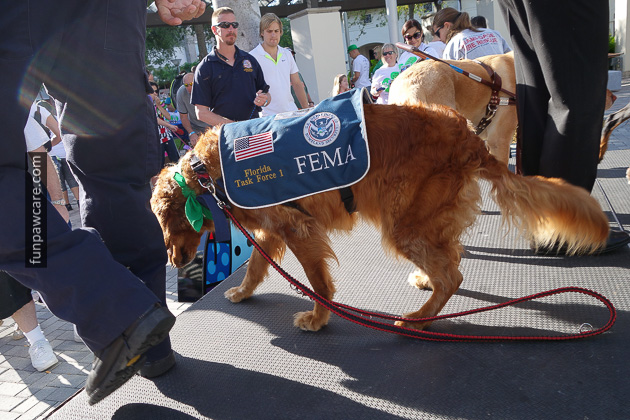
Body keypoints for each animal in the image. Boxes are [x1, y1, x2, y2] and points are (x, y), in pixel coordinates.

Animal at [151, 104, 608, 332]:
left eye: (167, 223)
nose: (172, 261)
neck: (208, 168)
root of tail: (469, 137)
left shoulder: (298, 228)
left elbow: (317, 283)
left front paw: (318, 318)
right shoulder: (274, 229)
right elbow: (256, 267)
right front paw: (244, 292)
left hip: (404, 223)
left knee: (452, 275)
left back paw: (420, 319)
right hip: (422, 219)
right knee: (450, 258)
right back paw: (426, 282)